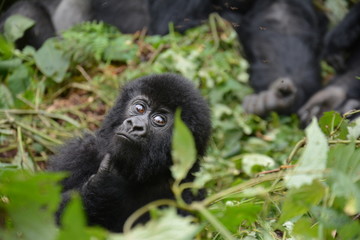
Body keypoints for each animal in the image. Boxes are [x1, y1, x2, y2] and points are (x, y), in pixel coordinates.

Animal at [47, 74, 211, 232]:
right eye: (139, 108)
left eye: (159, 120)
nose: (135, 125)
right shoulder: (78, 154)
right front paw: (98, 189)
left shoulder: (189, 193)